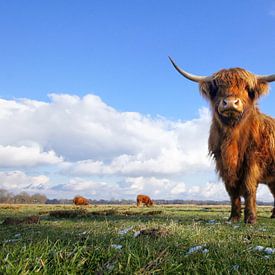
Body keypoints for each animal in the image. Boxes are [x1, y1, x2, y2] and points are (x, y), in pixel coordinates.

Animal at [170, 57, 275, 224]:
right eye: (218, 87)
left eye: (247, 88)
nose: (230, 103)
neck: (232, 139)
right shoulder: (221, 161)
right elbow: (232, 190)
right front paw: (234, 218)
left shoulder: (252, 159)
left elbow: (248, 187)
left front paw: (250, 219)